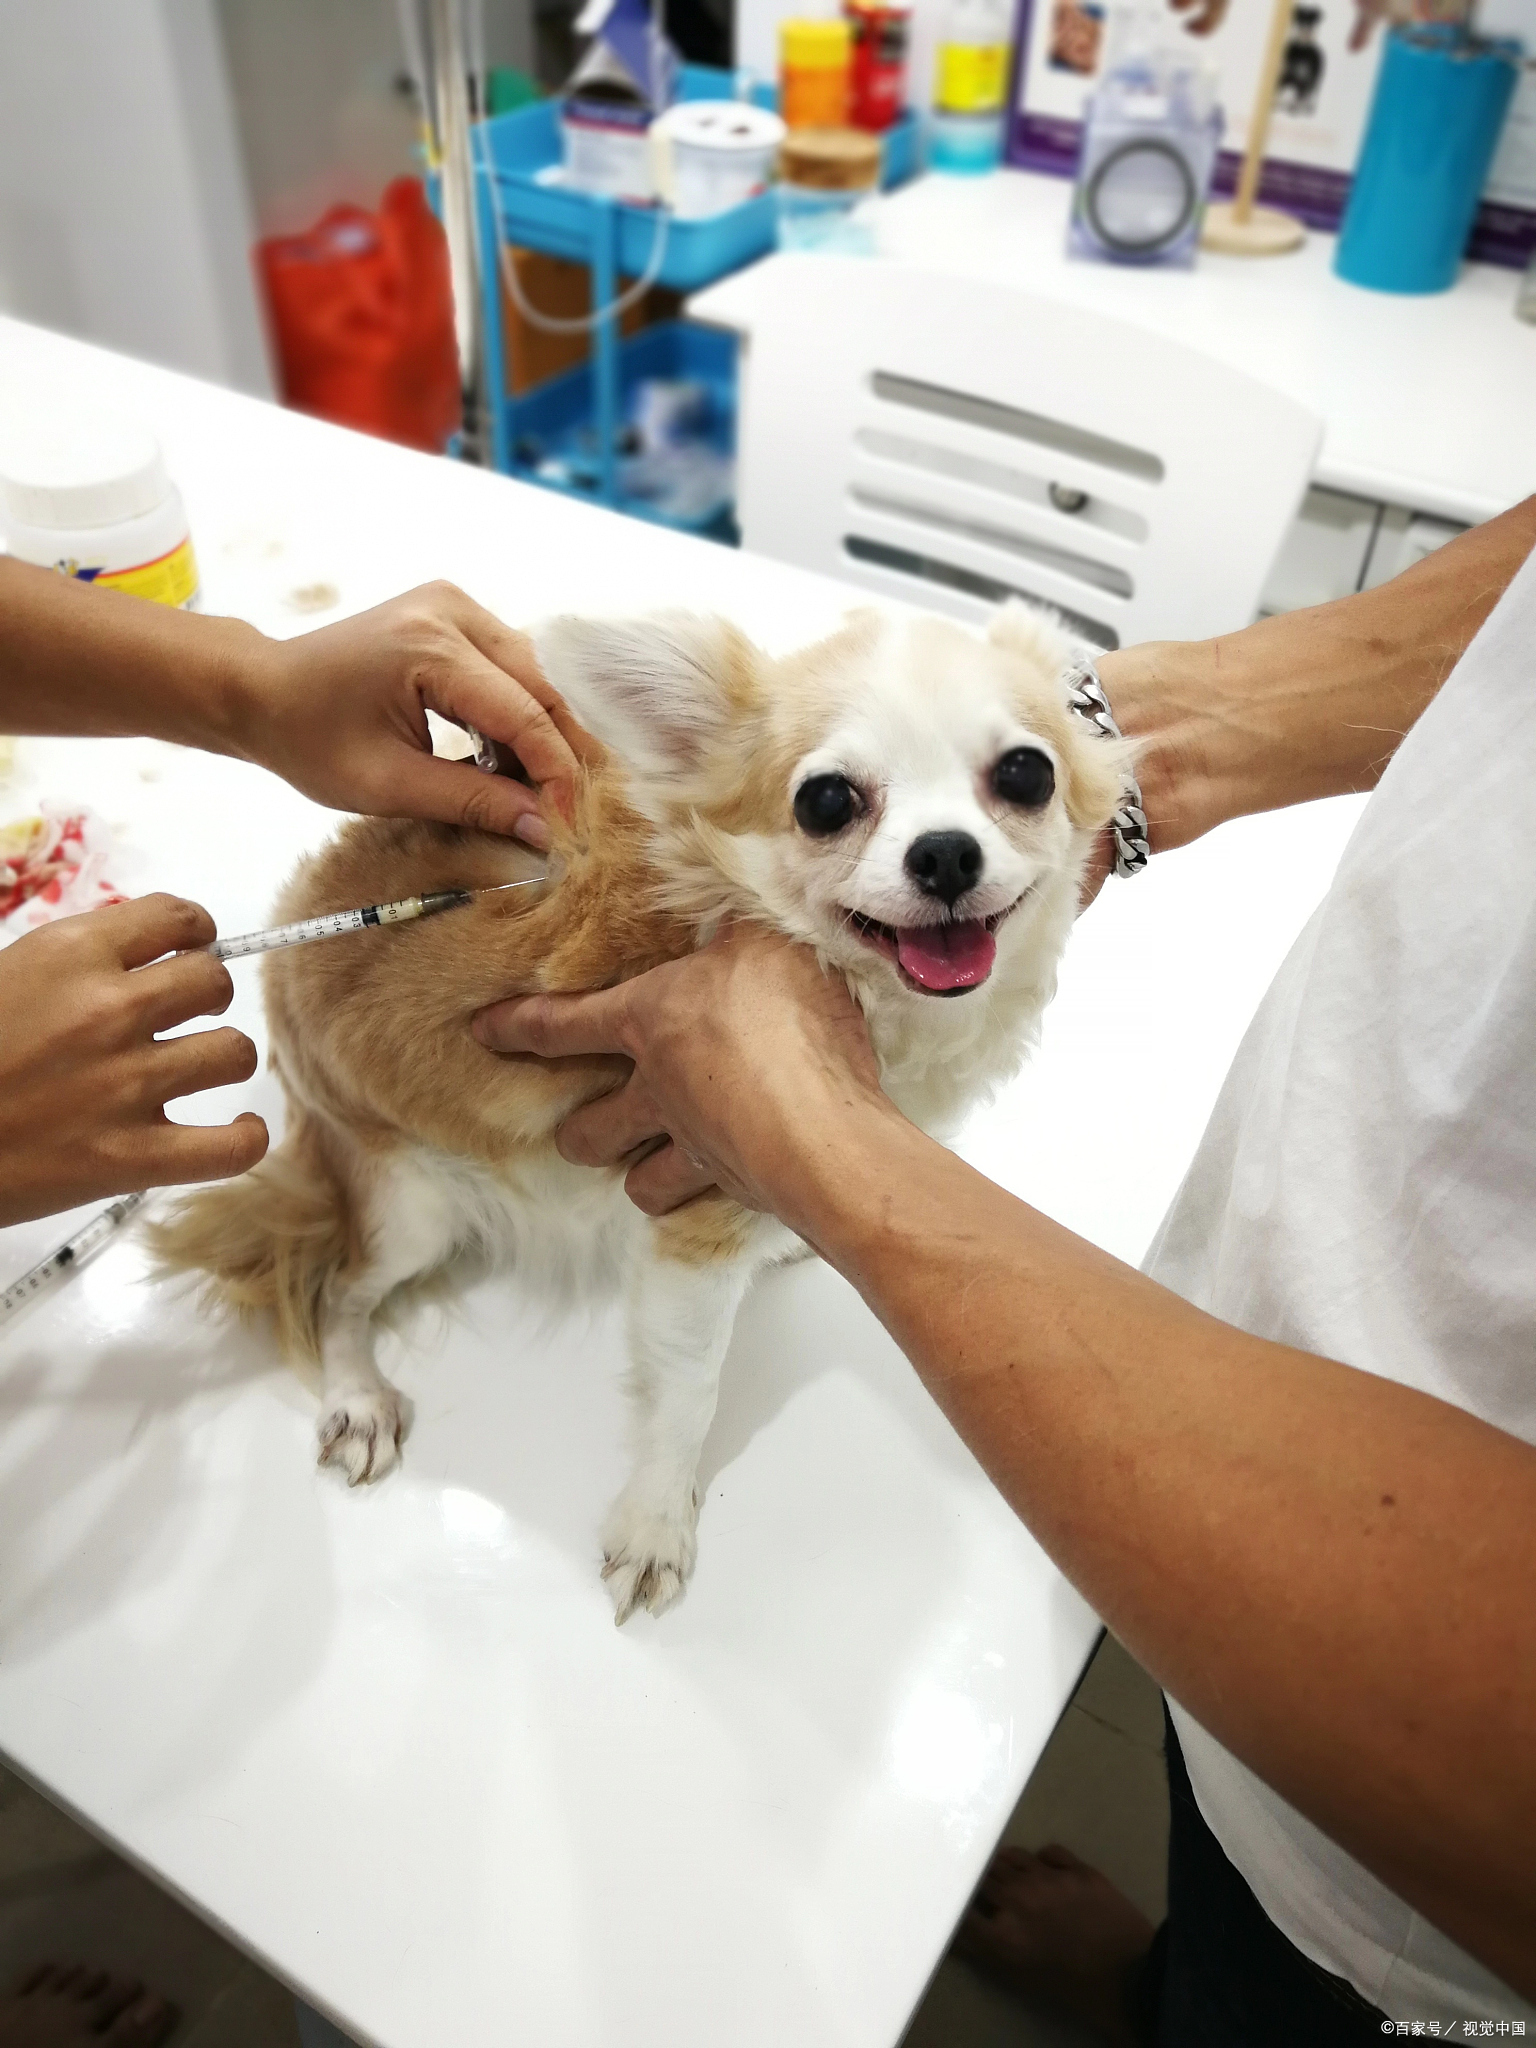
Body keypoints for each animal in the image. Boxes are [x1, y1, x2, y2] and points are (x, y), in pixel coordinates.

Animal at [159, 598, 1130, 1622]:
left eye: (1026, 774)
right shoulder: (693, 1215)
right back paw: (358, 1397)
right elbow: (688, 1389)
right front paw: (657, 1522)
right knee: (338, 1288)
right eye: (826, 802)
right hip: (410, 1206)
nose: (944, 852)